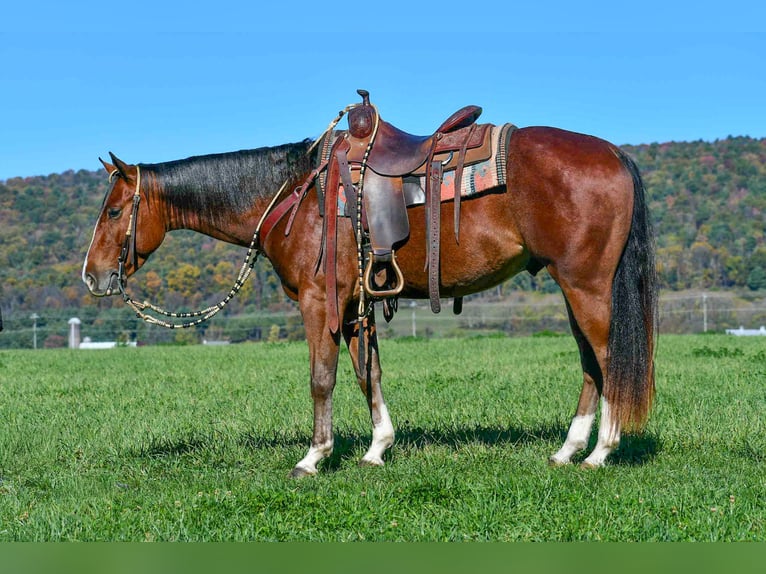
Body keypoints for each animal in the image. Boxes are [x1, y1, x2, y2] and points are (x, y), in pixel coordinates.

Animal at [82, 110, 657, 477]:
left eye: (114, 211)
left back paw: (600, 453)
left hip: (586, 286)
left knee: (610, 359)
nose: (92, 276)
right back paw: (567, 450)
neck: (295, 195)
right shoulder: (355, 304)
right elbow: (368, 373)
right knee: (590, 363)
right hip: (573, 287)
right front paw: (378, 448)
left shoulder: (319, 301)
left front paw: (314, 457)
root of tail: (614, 153)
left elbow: (322, 377)